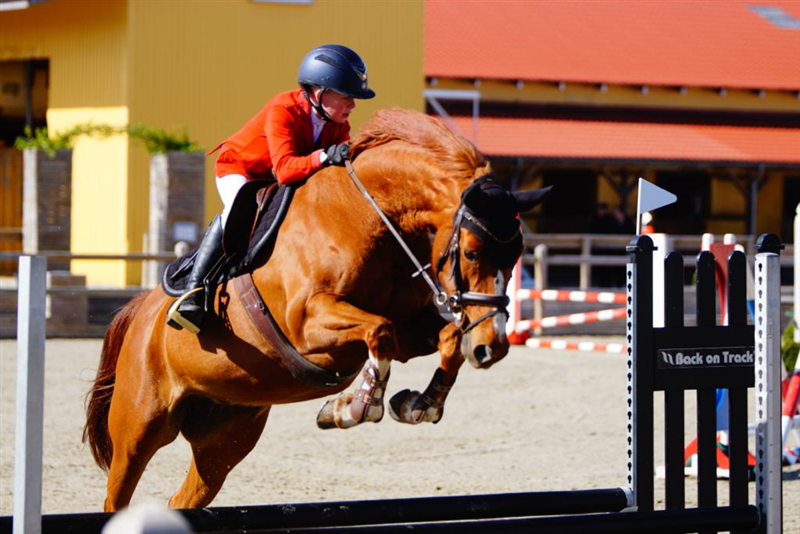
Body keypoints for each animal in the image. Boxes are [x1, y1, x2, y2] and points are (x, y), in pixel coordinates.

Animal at [83, 108, 552, 510]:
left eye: (518, 254)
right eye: (471, 252)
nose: (493, 348)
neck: (367, 215)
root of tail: (140, 312)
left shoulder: (406, 329)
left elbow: (443, 337)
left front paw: (420, 404)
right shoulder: (308, 327)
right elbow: (380, 331)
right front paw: (352, 407)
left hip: (225, 436)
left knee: (185, 497)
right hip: (140, 426)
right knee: (117, 493)